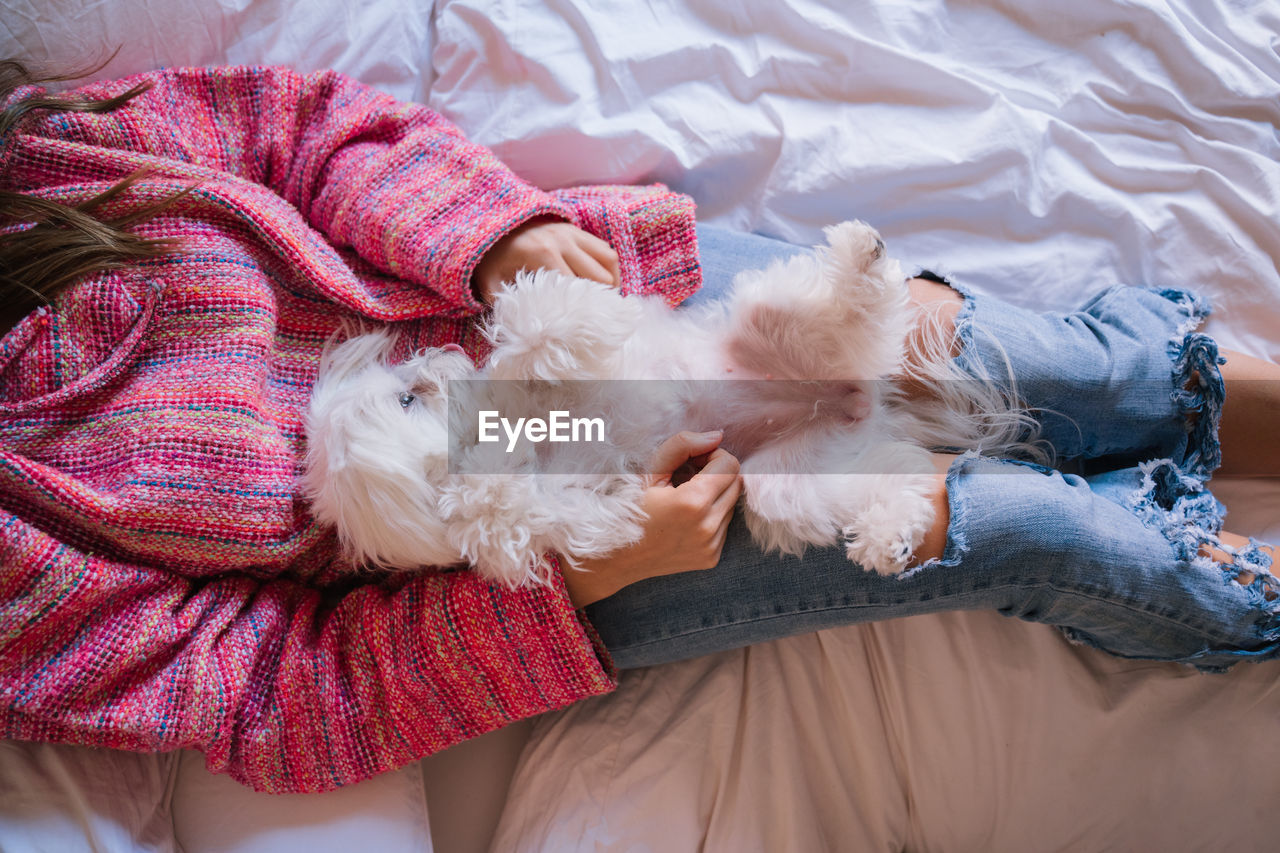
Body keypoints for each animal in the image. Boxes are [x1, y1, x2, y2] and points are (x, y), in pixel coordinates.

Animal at [302, 219, 1029, 584]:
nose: (429, 361)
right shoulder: (555, 514)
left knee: (858, 304)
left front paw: (572, 323)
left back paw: (862, 256)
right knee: (894, 485)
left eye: (403, 393)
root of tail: (858, 402)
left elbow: (536, 323)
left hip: (775, 318)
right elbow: (507, 515)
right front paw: (487, 486)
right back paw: (889, 537)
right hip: (787, 482)